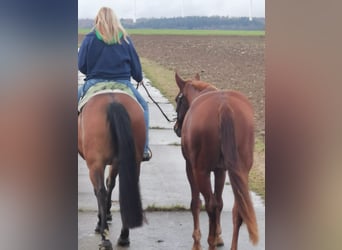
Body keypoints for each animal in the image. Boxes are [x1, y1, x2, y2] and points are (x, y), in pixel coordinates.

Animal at [78, 91, 144, 250]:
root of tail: (113, 102)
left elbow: (100, 190)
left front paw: (101, 220)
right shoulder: (115, 162)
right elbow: (111, 183)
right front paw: (107, 215)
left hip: (96, 163)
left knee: (100, 192)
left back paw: (105, 238)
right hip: (132, 160)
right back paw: (124, 235)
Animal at [174, 71, 260, 249]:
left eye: (178, 99)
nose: (177, 128)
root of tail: (224, 106)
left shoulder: (191, 168)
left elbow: (197, 203)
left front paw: (198, 241)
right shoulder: (221, 171)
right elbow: (220, 202)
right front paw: (219, 235)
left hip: (201, 172)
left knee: (210, 205)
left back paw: (210, 241)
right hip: (241, 171)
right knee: (236, 208)